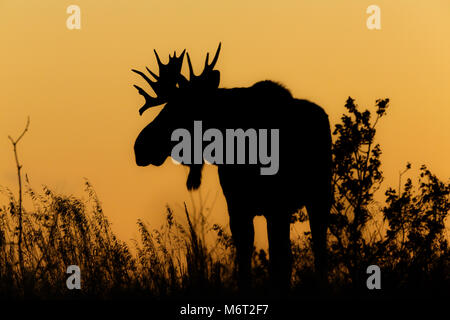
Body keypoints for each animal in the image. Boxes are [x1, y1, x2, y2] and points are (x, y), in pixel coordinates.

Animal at [132, 43, 332, 294]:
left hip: (320, 198)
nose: (139, 146)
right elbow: (244, 261)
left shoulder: (276, 207)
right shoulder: (237, 208)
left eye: (179, 109)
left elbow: (280, 262)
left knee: (319, 250)